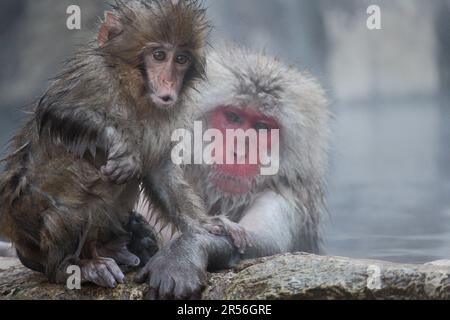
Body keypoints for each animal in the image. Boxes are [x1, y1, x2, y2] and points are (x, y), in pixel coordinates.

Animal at [0, 0, 213, 288]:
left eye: (181, 59)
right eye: (159, 55)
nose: (169, 82)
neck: (135, 87)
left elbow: (159, 171)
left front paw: (205, 225)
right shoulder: (94, 75)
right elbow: (57, 109)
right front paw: (123, 146)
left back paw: (115, 246)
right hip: (29, 221)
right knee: (82, 171)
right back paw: (72, 267)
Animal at [137, 46, 330, 298]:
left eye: (261, 127)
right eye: (233, 117)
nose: (239, 151)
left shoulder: (285, 196)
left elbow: (266, 242)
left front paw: (186, 250)